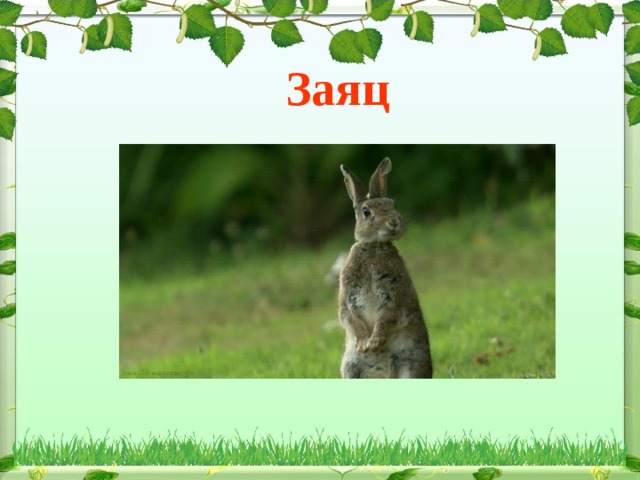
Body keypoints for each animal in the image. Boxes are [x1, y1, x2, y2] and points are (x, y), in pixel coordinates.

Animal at [338, 158, 433, 379]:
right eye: (366, 212)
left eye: (393, 204)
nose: (394, 222)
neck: (374, 246)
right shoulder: (348, 298)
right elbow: (352, 319)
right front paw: (364, 344)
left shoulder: (395, 296)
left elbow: (386, 319)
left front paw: (374, 342)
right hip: (351, 368)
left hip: (410, 364)